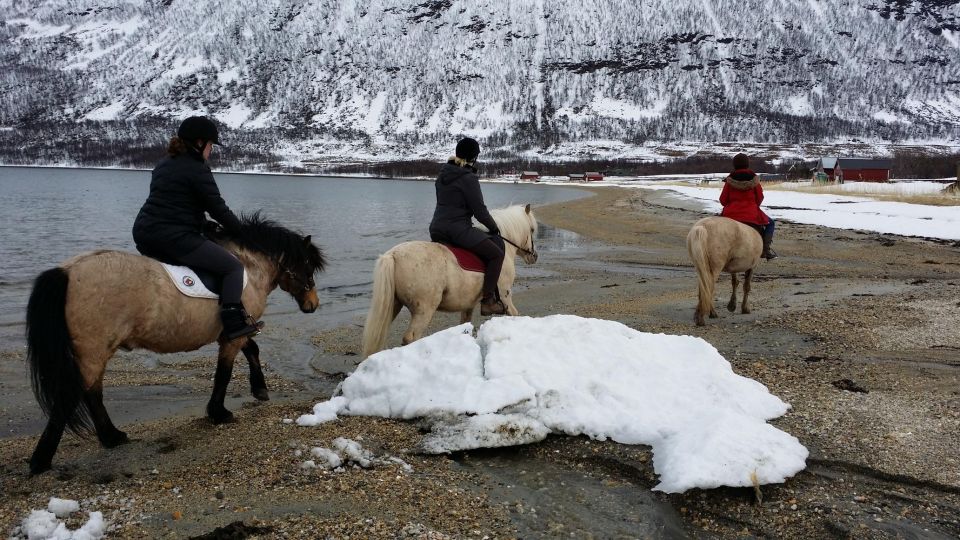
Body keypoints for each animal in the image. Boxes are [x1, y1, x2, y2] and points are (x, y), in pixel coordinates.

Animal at [25, 214, 326, 472]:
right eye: (307, 266)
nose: (313, 304)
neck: (248, 269)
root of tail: (67, 270)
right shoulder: (235, 334)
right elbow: (224, 372)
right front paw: (219, 412)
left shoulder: (234, 332)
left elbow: (252, 350)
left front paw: (259, 389)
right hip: (93, 351)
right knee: (69, 397)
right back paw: (41, 460)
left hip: (94, 353)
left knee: (92, 393)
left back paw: (111, 436)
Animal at [362, 205, 540, 356]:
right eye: (531, 229)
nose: (534, 256)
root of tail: (393, 255)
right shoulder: (505, 296)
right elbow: (515, 315)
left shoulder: (468, 305)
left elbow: (466, 324)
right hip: (424, 310)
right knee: (411, 338)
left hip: (393, 306)